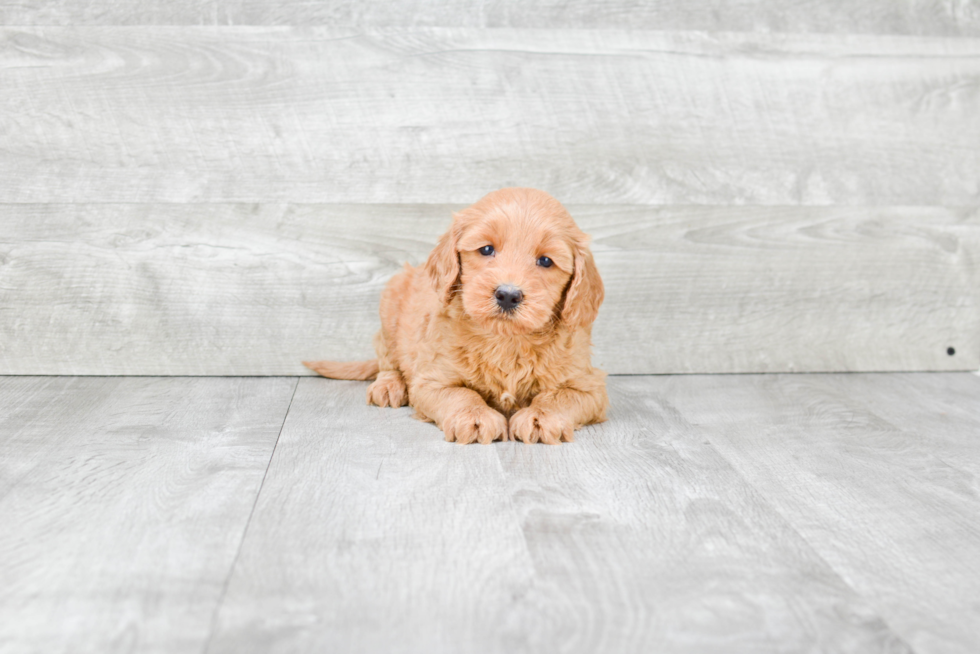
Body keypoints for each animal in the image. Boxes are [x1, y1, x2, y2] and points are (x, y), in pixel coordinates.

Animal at [306, 190, 608, 446]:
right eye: (486, 249)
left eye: (546, 261)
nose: (508, 295)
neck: (505, 340)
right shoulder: (431, 379)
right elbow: (461, 393)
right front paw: (475, 416)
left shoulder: (589, 385)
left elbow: (560, 396)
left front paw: (540, 416)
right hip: (389, 307)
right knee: (386, 359)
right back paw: (389, 386)